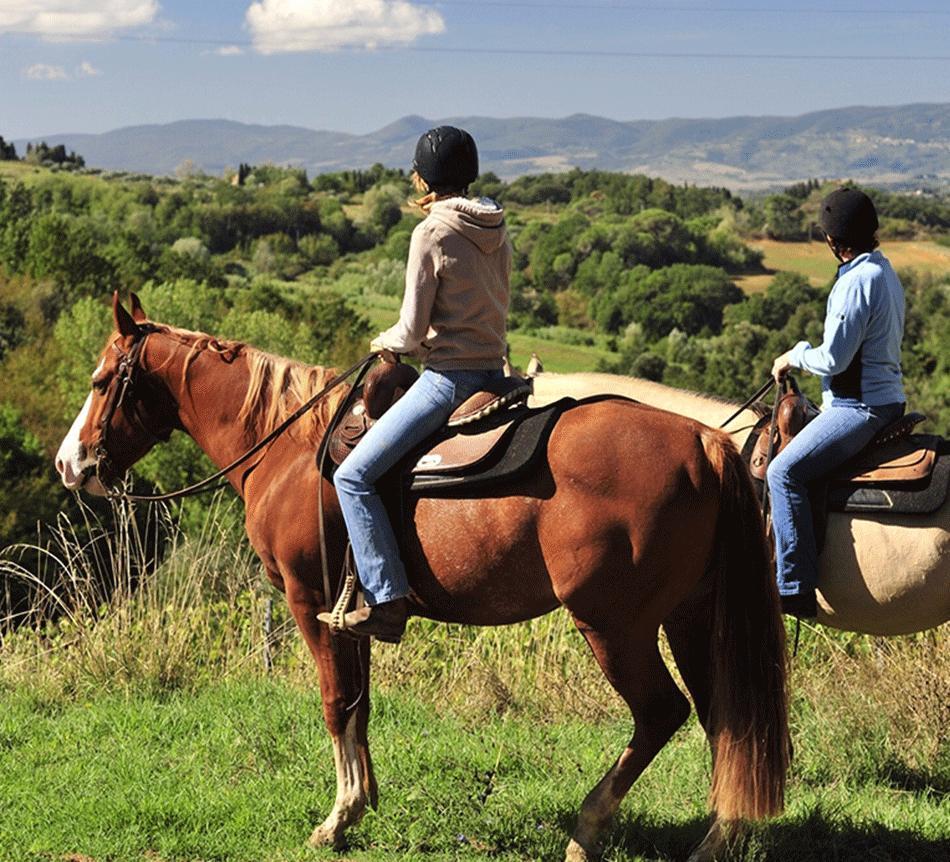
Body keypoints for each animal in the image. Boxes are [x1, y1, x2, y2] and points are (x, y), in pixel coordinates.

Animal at [55, 296, 792, 862]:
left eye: (101, 381)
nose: (70, 465)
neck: (288, 446)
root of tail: (704, 444)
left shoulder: (307, 600)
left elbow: (335, 702)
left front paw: (337, 818)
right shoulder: (351, 611)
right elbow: (360, 703)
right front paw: (364, 800)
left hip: (615, 625)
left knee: (662, 713)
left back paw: (588, 830)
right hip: (690, 616)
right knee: (728, 720)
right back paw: (717, 840)